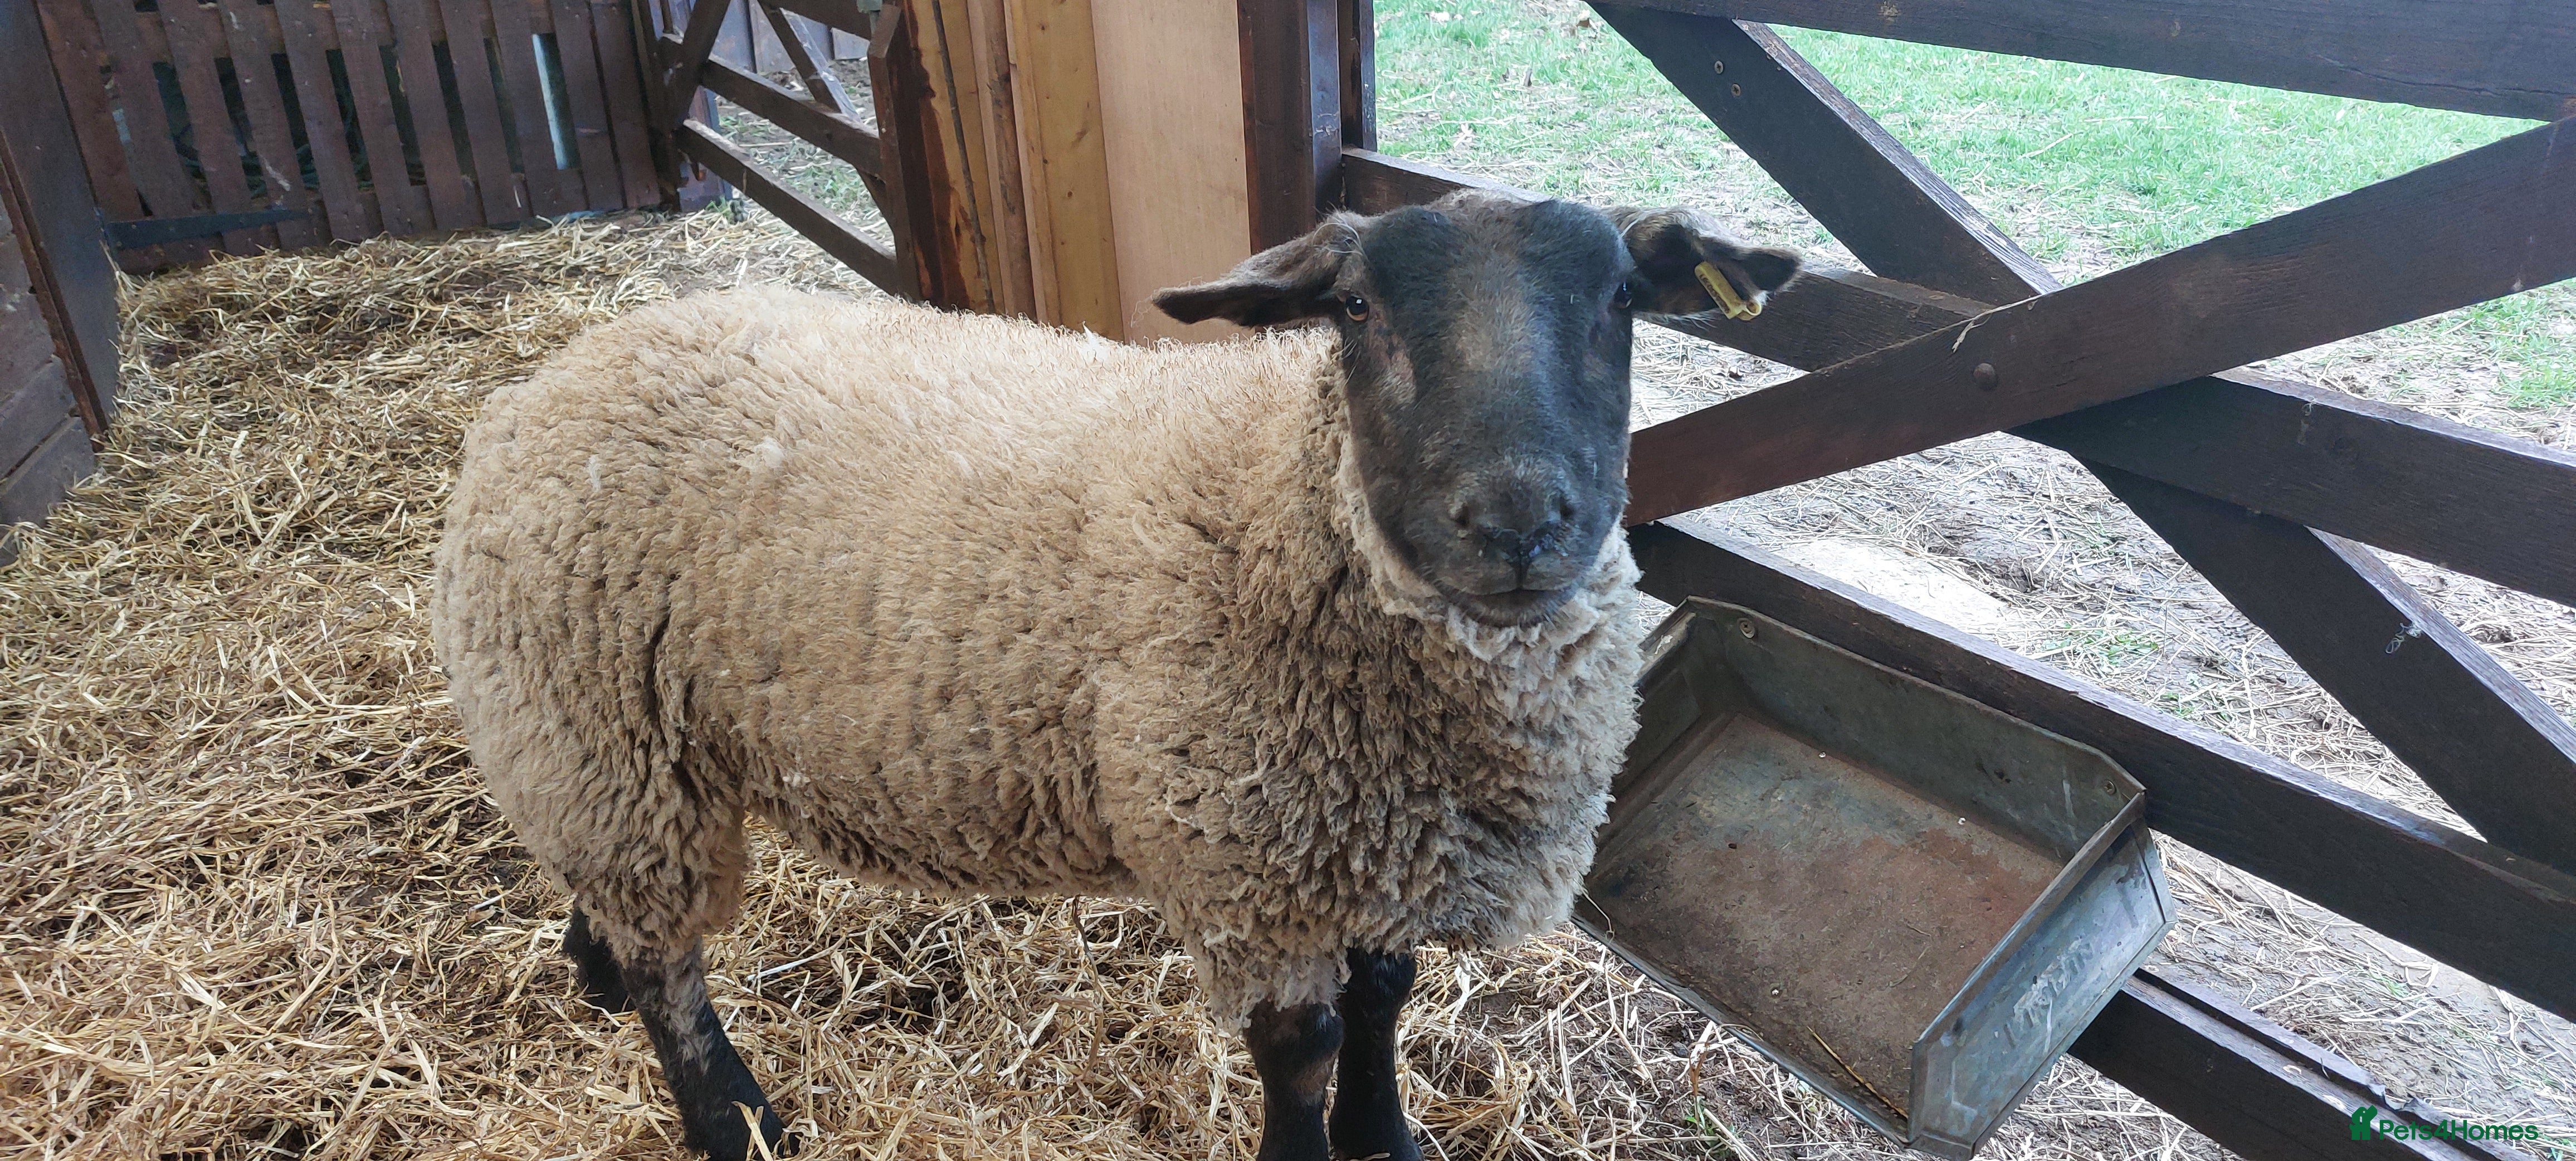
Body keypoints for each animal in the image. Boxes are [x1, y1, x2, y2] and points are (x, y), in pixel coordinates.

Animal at [430, 190, 1802, 1161]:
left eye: (1623, 297)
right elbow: (1302, 1049)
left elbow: (1385, 995)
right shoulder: (1252, 862)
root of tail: (553, 374)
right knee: (673, 975)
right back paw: (736, 1123)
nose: (1516, 523)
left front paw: (1389, 1138)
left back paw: (593, 972)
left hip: (599, 755)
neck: (1279, 497)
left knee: (616, 909)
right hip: (588, 725)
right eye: (1355, 310)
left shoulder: (1370, 846)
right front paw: (1317, 1144)